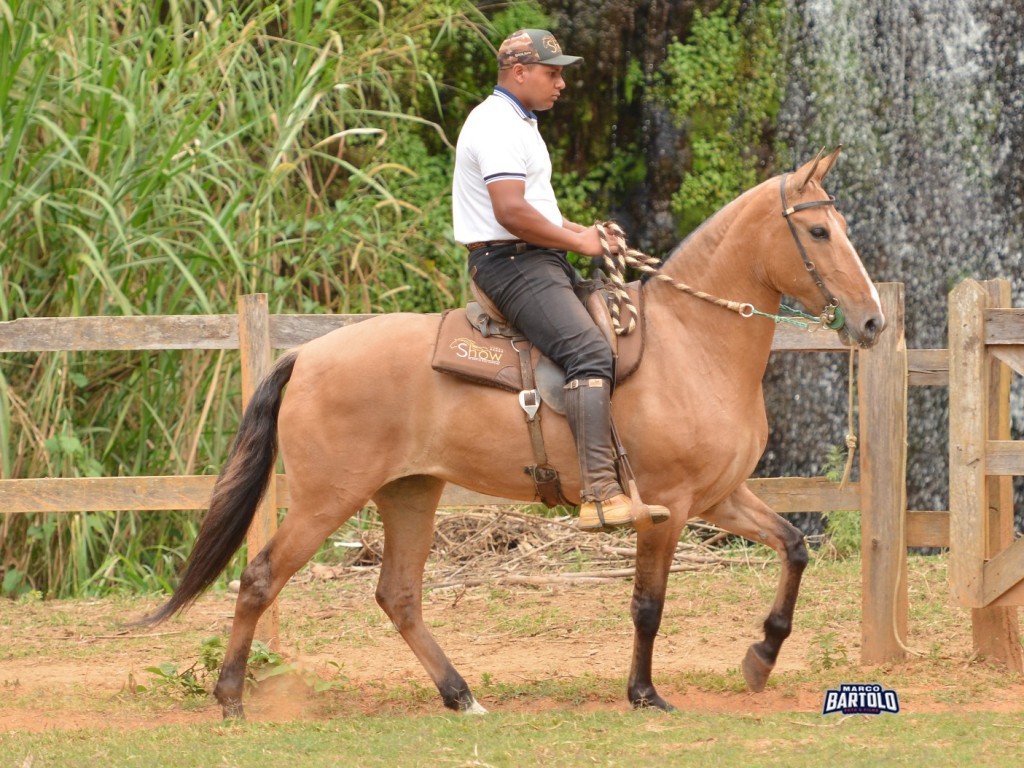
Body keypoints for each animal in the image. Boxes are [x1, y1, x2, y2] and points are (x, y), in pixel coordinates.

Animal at [144, 148, 880, 716]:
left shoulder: (721, 496)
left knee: (398, 595)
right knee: (261, 577)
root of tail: (305, 355)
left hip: (410, 493)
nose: (872, 321)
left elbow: (793, 549)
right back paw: (232, 696)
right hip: (328, 497)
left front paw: (762, 656)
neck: (692, 343)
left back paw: (459, 694)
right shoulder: (666, 508)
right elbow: (648, 603)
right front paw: (644, 694)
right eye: (819, 233)